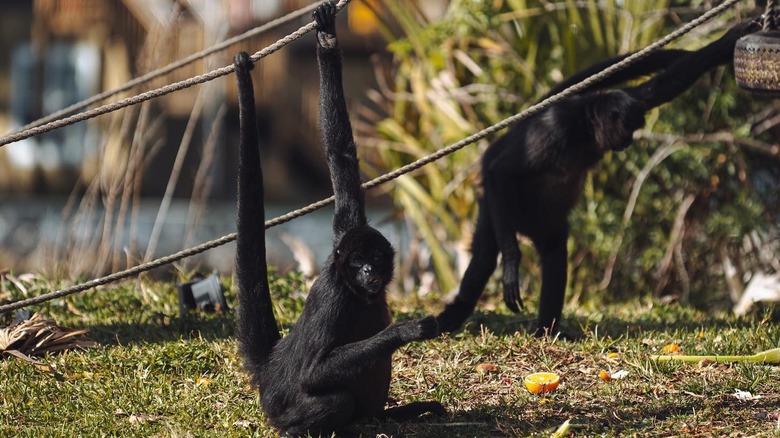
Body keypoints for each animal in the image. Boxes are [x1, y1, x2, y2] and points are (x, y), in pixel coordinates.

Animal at [233, 2, 444, 434]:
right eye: (358, 262)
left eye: (374, 259)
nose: (368, 272)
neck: (356, 291)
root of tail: (271, 368)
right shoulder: (333, 296)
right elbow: (314, 373)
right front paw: (406, 329)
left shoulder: (347, 226)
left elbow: (340, 154)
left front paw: (327, 38)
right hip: (283, 407)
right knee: (335, 396)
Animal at [436, 18, 760, 338]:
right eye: (630, 129)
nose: (629, 141)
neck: (585, 129)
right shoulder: (552, 129)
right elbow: (501, 171)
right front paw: (512, 263)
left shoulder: (633, 99)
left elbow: (667, 83)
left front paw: (728, 40)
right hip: (498, 208)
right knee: (485, 255)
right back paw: (452, 318)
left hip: (543, 223)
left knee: (554, 253)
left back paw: (546, 331)